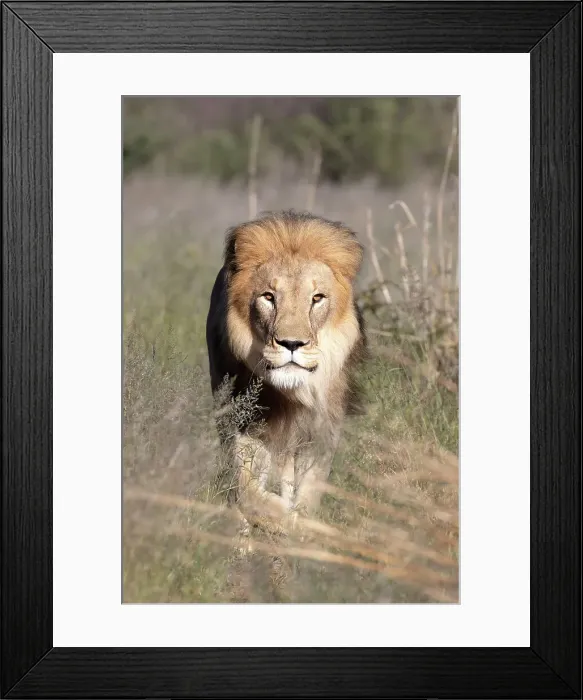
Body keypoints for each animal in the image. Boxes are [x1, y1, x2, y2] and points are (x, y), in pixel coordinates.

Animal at [206, 210, 366, 534]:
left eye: (317, 298)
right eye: (268, 297)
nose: (292, 344)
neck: (292, 394)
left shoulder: (322, 430)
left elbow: (311, 490)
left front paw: (300, 527)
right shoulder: (245, 423)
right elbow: (247, 489)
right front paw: (276, 517)